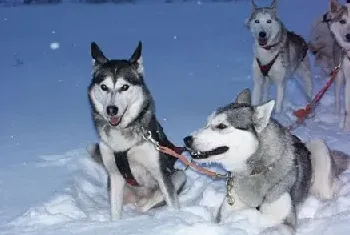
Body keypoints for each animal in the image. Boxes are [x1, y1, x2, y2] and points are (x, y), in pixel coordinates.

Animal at [87, 41, 186, 219]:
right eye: (104, 87)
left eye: (124, 87)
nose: (111, 109)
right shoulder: (115, 175)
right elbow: (115, 213)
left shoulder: (160, 172)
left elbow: (170, 200)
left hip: (180, 175)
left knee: (153, 199)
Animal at [183, 88, 348, 233]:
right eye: (206, 123)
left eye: (222, 126)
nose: (186, 140)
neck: (256, 171)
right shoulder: (224, 213)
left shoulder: (285, 223)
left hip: (318, 147)